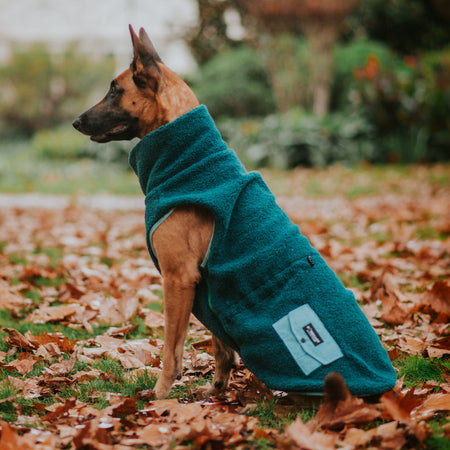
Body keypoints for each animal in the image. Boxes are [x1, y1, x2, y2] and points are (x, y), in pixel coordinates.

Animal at [72, 26, 396, 400]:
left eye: (115, 90)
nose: (75, 121)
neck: (187, 158)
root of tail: (383, 388)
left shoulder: (178, 278)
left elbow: (171, 350)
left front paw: (159, 396)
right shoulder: (210, 290)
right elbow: (221, 346)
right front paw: (216, 391)